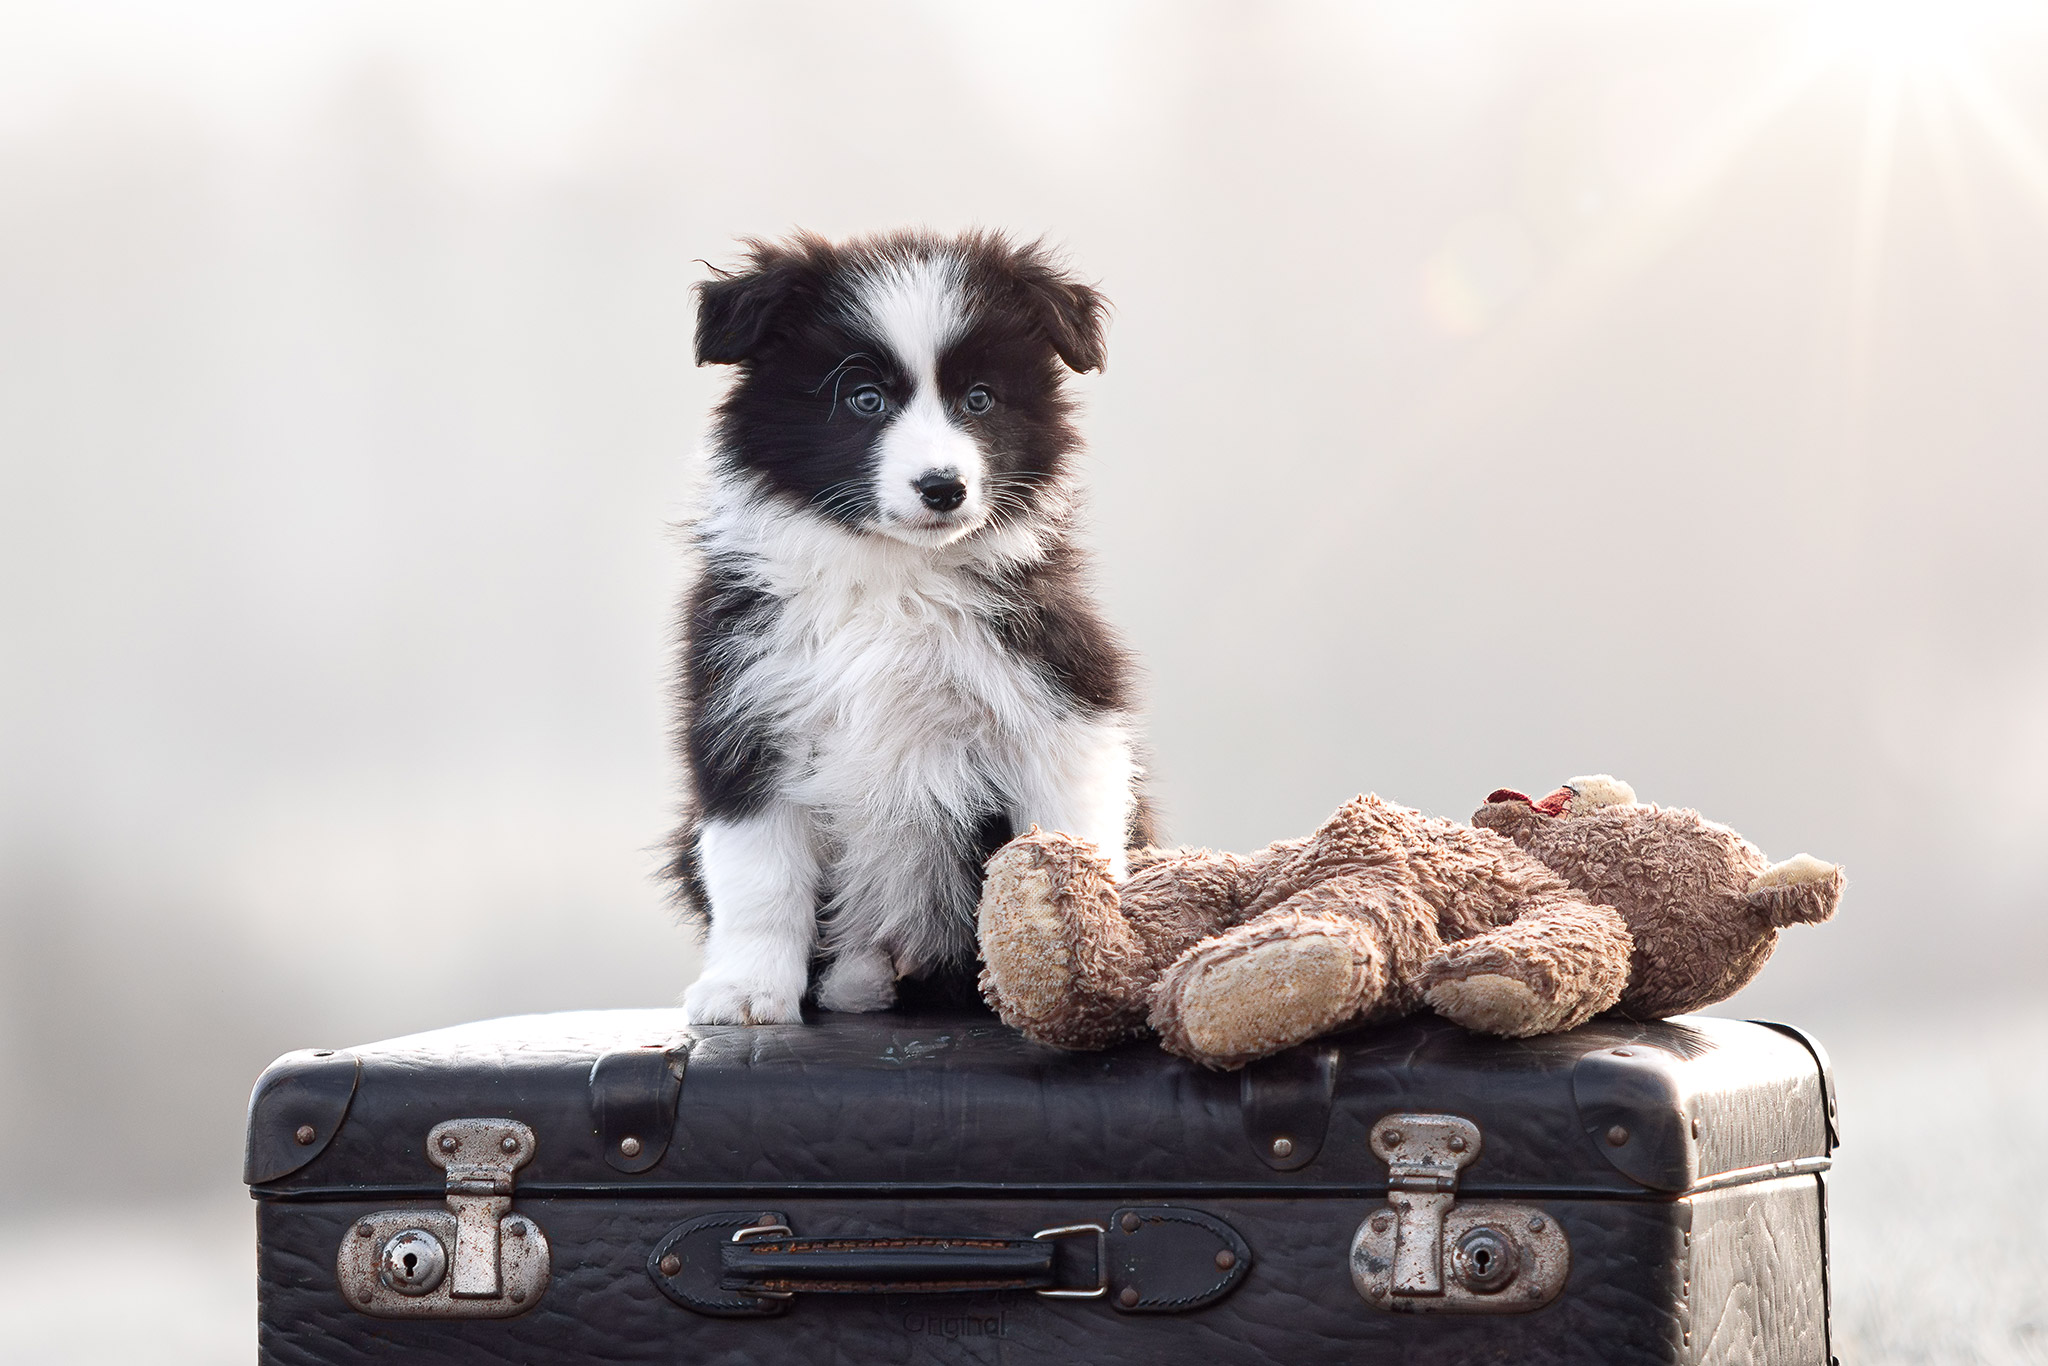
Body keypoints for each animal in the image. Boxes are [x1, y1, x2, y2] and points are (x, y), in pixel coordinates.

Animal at [671, 229, 1155, 1023]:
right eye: (863, 399)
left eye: (979, 399)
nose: (942, 487)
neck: (895, 578)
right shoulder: (744, 712)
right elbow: (757, 874)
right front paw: (745, 990)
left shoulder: (1058, 695)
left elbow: (1072, 833)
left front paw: (1084, 957)